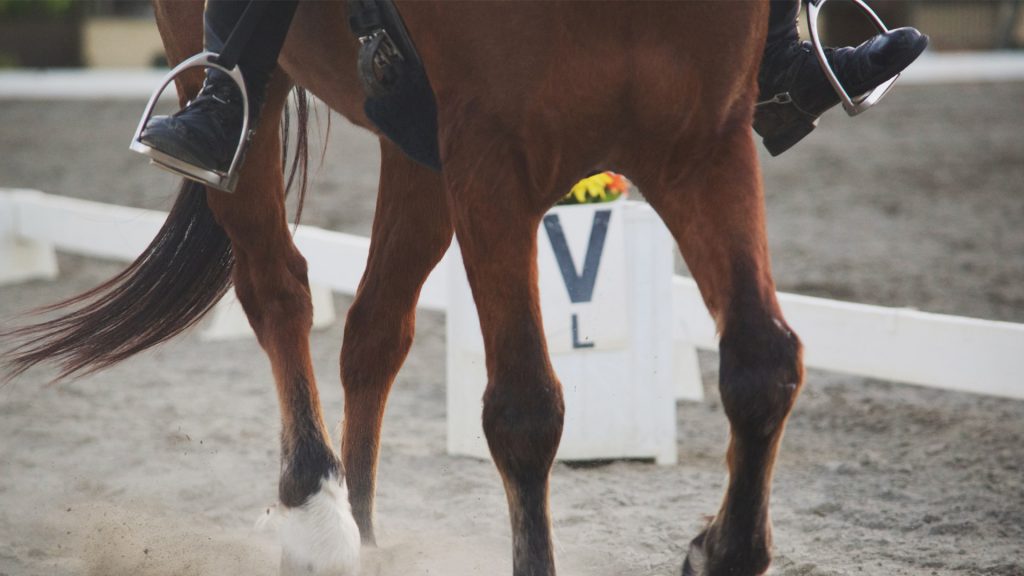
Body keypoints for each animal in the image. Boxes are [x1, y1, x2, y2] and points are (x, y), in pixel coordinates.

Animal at [2, 1, 803, 575]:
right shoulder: (491, 157)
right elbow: (524, 411)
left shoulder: (705, 145)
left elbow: (762, 364)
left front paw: (720, 553)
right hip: (233, 89)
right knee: (278, 290)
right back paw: (318, 520)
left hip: (416, 151)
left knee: (375, 329)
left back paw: (361, 528)